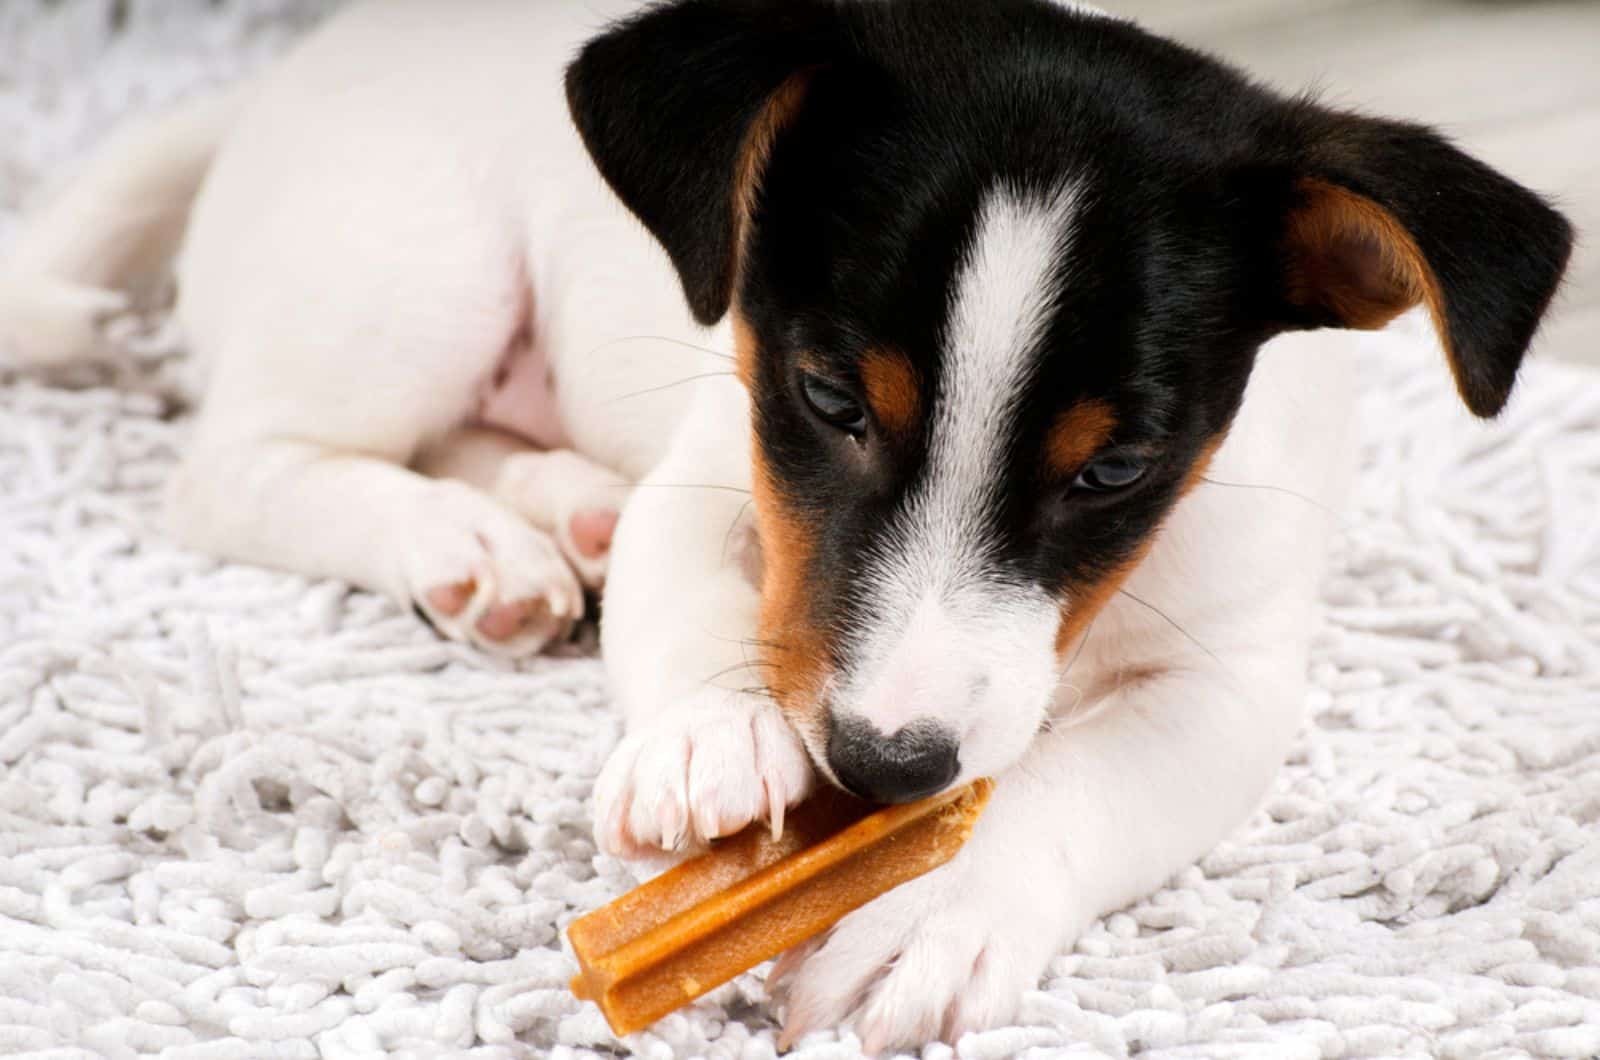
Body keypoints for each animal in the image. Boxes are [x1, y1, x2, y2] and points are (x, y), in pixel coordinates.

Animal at [0, 0, 1574, 1050]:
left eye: (1118, 467)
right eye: (827, 396)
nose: (883, 765)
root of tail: (279, 77)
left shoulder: (1228, 679)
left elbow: (1071, 789)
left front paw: (924, 913)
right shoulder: (716, 482)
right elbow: (702, 601)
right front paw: (709, 743)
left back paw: (544, 519)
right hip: (412, 275)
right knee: (237, 465)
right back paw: (465, 546)